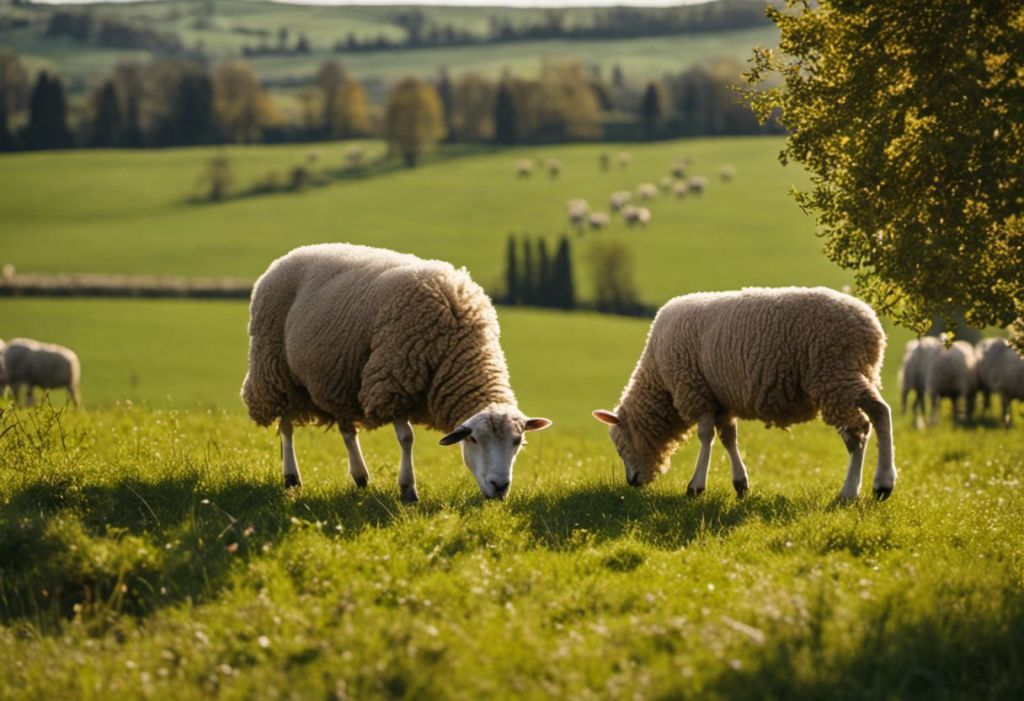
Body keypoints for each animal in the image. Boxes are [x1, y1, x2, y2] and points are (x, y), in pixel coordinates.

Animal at [241, 243, 552, 499]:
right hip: (274, 369)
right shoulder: (395, 379)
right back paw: (291, 477)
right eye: (474, 439)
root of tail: (289, 255)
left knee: (346, 429)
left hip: (339, 378)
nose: (500, 487)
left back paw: (360, 477)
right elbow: (407, 439)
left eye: (517, 441)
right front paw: (408, 489)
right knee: (286, 425)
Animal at [593, 286, 897, 499]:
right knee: (878, 415)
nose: (631, 482)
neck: (658, 379)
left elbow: (705, 437)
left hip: (833, 373)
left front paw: (696, 486)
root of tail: (872, 327)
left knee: (859, 431)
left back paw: (858, 489)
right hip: (855, 373)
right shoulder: (720, 399)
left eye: (620, 445)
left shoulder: (695, 390)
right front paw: (740, 484)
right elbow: (729, 438)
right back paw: (878, 486)